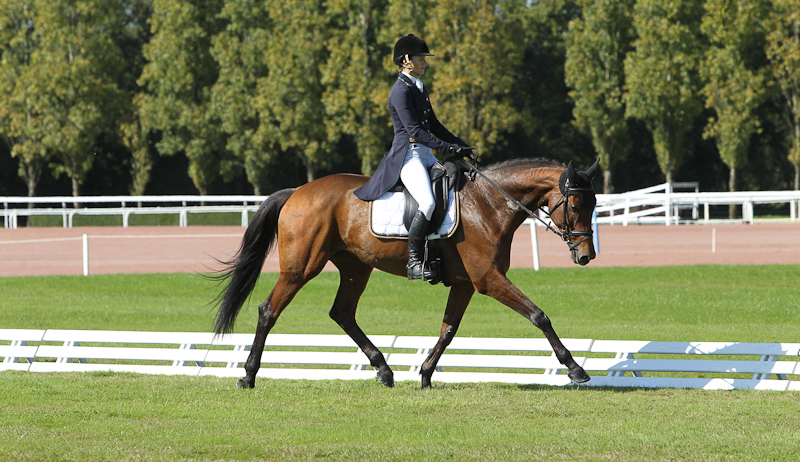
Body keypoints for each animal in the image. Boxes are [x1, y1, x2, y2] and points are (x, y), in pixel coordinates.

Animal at [212, 157, 600, 388]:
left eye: (595, 204)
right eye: (576, 205)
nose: (587, 256)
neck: (490, 203)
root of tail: (298, 192)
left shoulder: (465, 284)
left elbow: (448, 330)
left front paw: (425, 374)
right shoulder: (488, 280)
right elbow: (538, 315)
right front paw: (575, 368)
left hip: (356, 267)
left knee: (343, 313)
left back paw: (384, 370)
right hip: (300, 267)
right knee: (268, 310)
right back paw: (248, 375)